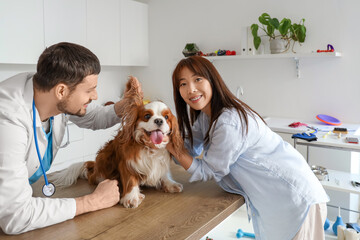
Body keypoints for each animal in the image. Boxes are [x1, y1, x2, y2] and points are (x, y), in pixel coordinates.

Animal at [51, 77, 183, 208]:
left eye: (166, 117)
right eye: (147, 116)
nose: (159, 121)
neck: (149, 147)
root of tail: (95, 166)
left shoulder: (161, 161)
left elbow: (164, 173)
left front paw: (170, 184)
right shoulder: (127, 163)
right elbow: (130, 179)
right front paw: (131, 198)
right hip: (104, 156)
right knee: (92, 177)